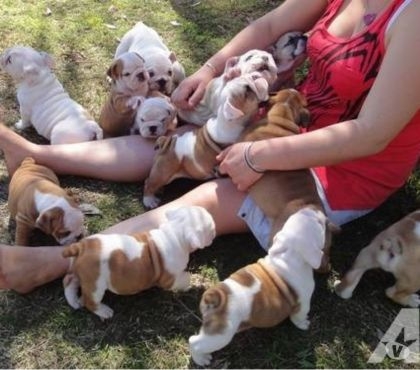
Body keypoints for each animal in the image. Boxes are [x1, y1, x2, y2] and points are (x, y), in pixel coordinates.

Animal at [62, 205, 217, 320]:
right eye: (211, 227)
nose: (215, 231)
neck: (174, 232)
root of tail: (81, 247)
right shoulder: (169, 279)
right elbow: (183, 279)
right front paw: (192, 281)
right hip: (96, 285)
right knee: (89, 301)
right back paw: (104, 311)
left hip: (80, 273)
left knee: (69, 281)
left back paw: (74, 301)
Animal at [143, 71, 270, 208]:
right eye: (247, 90)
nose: (255, 75)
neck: (227, 121)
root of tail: (166, 143)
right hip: (164, 172)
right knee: (149, 183)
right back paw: (149, 200)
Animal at [189, 207, 328, 366]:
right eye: (319, 223)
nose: (312, 208)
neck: (288, 254)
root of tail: (215, 296)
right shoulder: (303, 301)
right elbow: (299, 315)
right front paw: (303, 324)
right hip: (221, 335)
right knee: (194, 342)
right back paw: (202, 359)